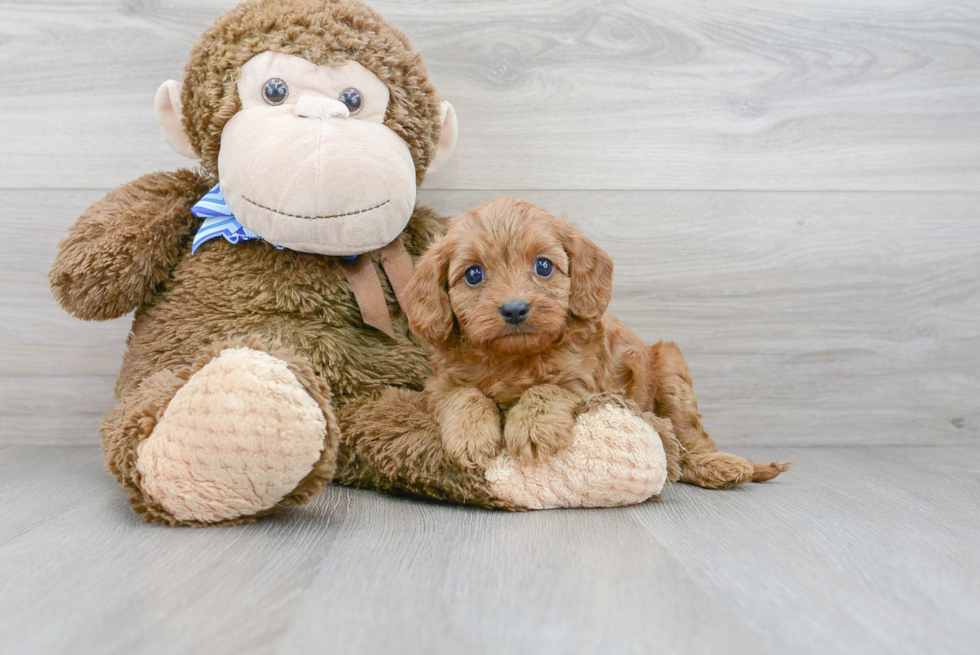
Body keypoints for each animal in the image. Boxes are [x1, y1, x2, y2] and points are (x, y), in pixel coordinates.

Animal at [402, 197, 792, 490]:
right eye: (473, 274)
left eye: (543, 266)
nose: (514, 309)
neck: (514, 357)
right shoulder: (439, 385)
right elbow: (465, 394)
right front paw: (470, 438)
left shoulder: (584, 383)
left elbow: (545, 390)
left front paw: (533, 428)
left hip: (671, 372)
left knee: (689, 438)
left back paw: (718, 465)